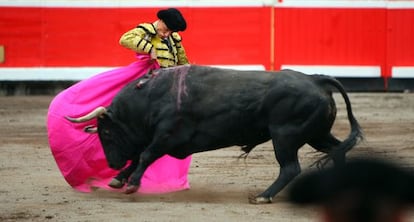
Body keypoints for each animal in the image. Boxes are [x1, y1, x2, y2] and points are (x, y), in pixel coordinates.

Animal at [65, 64, 362, 203]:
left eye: (106, 132)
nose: (112, 163)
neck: (149, 98)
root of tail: (316, 79)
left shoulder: (167, 135)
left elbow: (145, 155)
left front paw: (131, 184)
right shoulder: (159, 137)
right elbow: (139, 156)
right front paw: (119, 179)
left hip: (285, 137)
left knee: (290, 168)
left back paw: (263, 195)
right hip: (315, 134)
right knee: (337, 150)